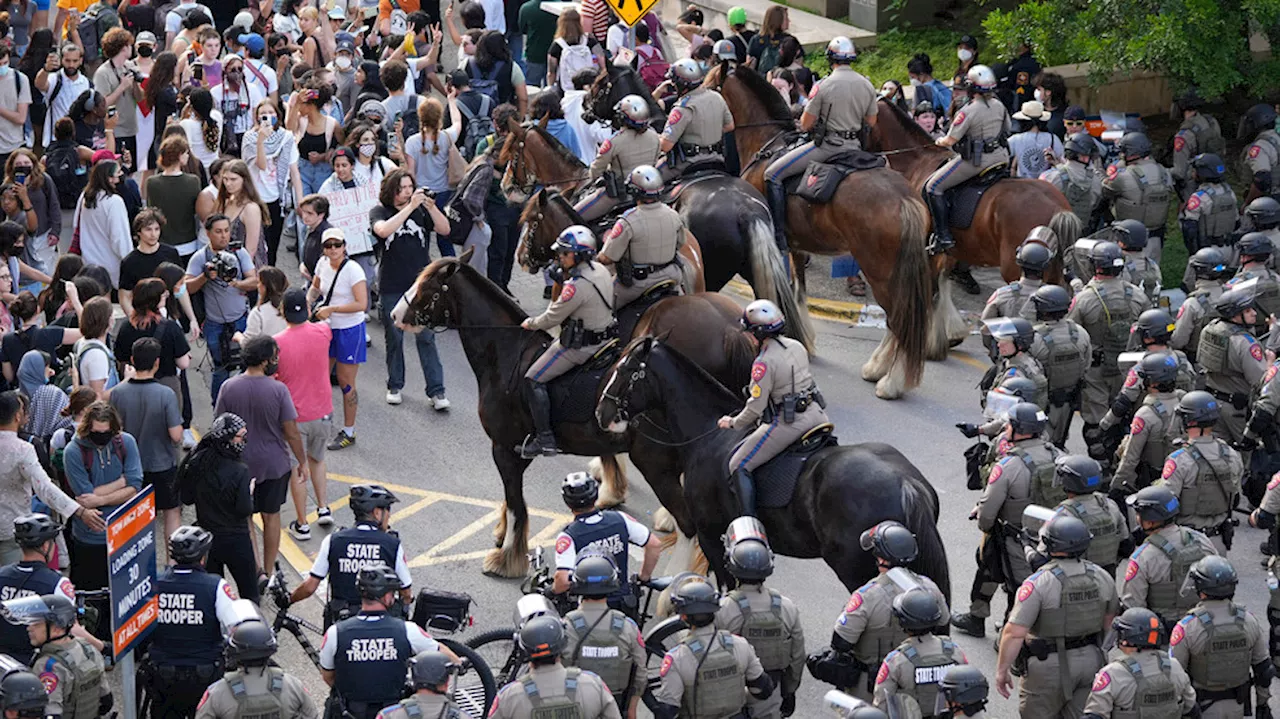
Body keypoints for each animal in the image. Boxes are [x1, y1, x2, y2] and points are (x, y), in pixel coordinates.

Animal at [404, 249, 752, 573]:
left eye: (426, 286)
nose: (397, 312)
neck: (506, 352)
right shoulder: (516, 450)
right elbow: (511, 498)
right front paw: (502, 535)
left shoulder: (503, 446)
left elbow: (516, 503)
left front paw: (506, 558)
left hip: (656, 468)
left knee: (689, 527)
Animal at [593, 335, 947, 593]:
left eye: (625, 370)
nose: (601, 413)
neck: (709, 433)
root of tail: (907, 484)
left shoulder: (710, 534)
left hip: (856, 569)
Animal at [711, 63, 931, 396]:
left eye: (709, 81)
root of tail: (904, 197)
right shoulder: (796, 245)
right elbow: (798, 290)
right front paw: (803, 339)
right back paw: (879, 368)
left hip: (880, 270)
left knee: (898, 319)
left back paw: (889, 381)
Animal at [865, 98, 1085, 358]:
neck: (919, 162)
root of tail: (1056, 205)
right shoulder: (947, 251)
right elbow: (942, 286)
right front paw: (948, 335)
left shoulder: (927, 250)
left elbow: (932, 291)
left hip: (1016, 268)